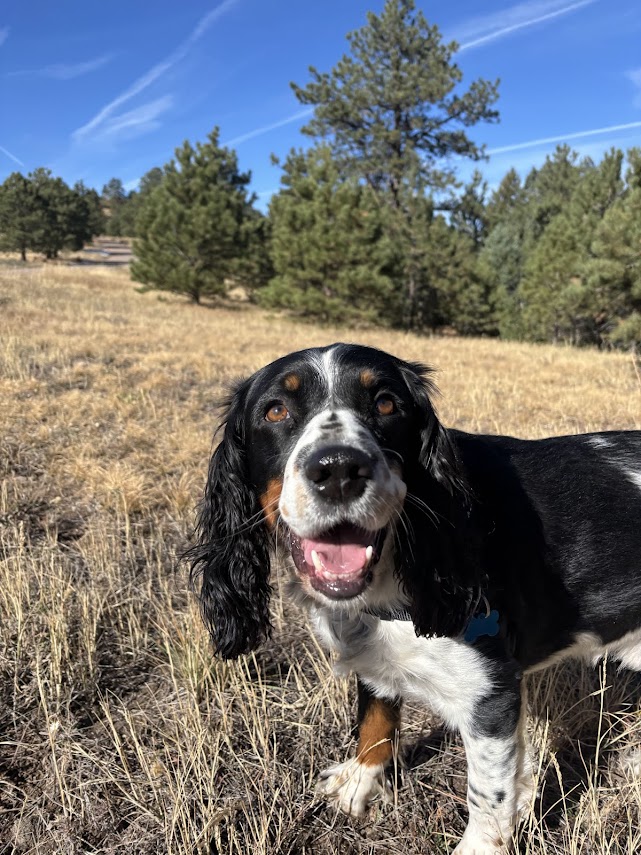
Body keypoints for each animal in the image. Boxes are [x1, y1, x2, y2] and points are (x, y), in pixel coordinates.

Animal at [186, 344, 640, 852]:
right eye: (275, 410)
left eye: (386, 403)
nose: (338, 470)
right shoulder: (372, 648)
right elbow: (375, 716)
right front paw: (359, 783)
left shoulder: (492, 692)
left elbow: (489, 791)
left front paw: (481, 844)